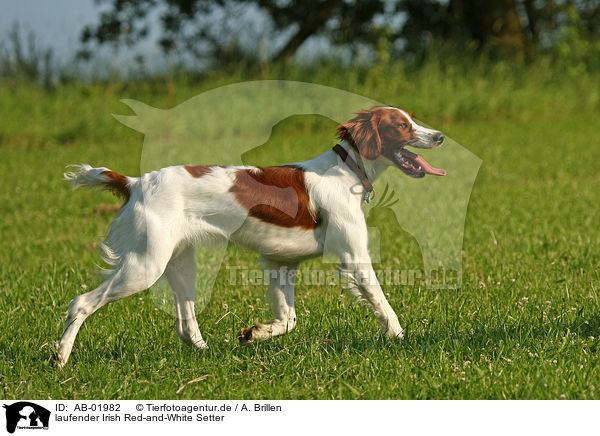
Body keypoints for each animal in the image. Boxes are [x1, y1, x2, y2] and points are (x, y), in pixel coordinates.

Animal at [57, 105, 446, 364]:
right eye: (402, 125)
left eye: (413, 120)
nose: (440, 135)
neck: (347, 169)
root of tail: (135, 183)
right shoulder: (354, 258)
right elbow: (383, 304)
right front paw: (401, 339)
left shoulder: (281, 263)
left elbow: (288, 321)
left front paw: (254, 334)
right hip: (144, 266)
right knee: (80, 303)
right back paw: (59, 358)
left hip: (179, 263)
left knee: (185, 323)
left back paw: (207, 352)